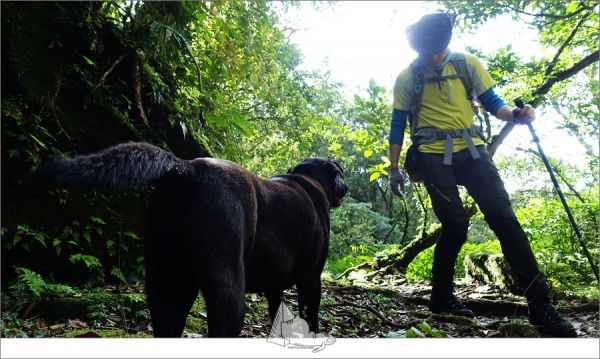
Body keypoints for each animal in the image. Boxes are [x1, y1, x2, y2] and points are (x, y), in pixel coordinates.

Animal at [31, 143, 346, 338]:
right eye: (340, 172)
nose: (346, 186)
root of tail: (185, 168)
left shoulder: (274, 286)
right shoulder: (310, 280)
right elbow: (310, 316)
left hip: (167, 283)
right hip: (226, 288)